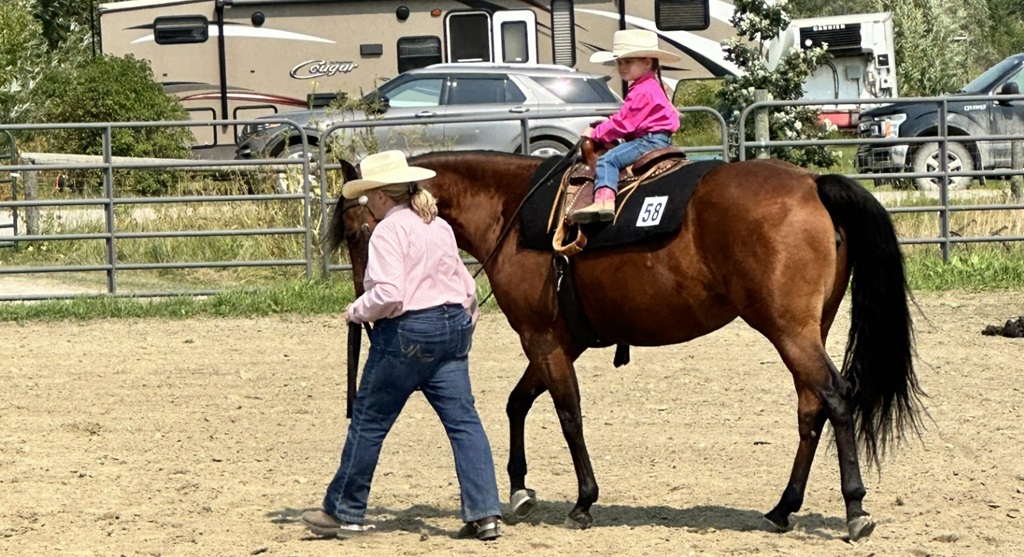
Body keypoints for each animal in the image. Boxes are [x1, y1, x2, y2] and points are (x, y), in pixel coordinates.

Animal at [327, 150, 924, 541]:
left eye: (356, 231)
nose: (365, 297)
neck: (509, 210)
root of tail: (813, 185)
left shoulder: (543, 341)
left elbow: (568, 415)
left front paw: (583, 502)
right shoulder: (555, 343)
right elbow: (518, 404)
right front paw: (519, 490)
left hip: (789, 330)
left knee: (836, 399)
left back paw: (854, 511)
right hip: (805, 330)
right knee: (810, 409)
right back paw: (782, 508)